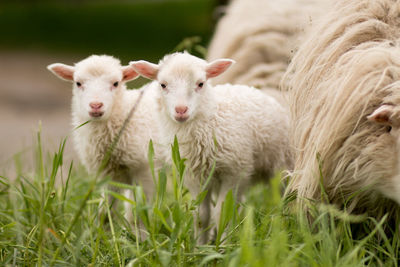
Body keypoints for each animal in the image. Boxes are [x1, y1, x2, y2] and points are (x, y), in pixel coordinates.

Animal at [47, 55, 159, 222]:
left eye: (116, 83)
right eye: (78, 83)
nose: (96, 105)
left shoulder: (144, 171)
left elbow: (138, 213)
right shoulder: (108, 175)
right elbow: (105, 213)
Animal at [130, 52, 292, 243]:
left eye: (200, 83)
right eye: (163, 84)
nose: (181, 110)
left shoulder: (235, 172)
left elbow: (222, 213)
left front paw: (222, 245)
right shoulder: (195, 176)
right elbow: (201, 216)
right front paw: (201, 245)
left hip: (281, 166)